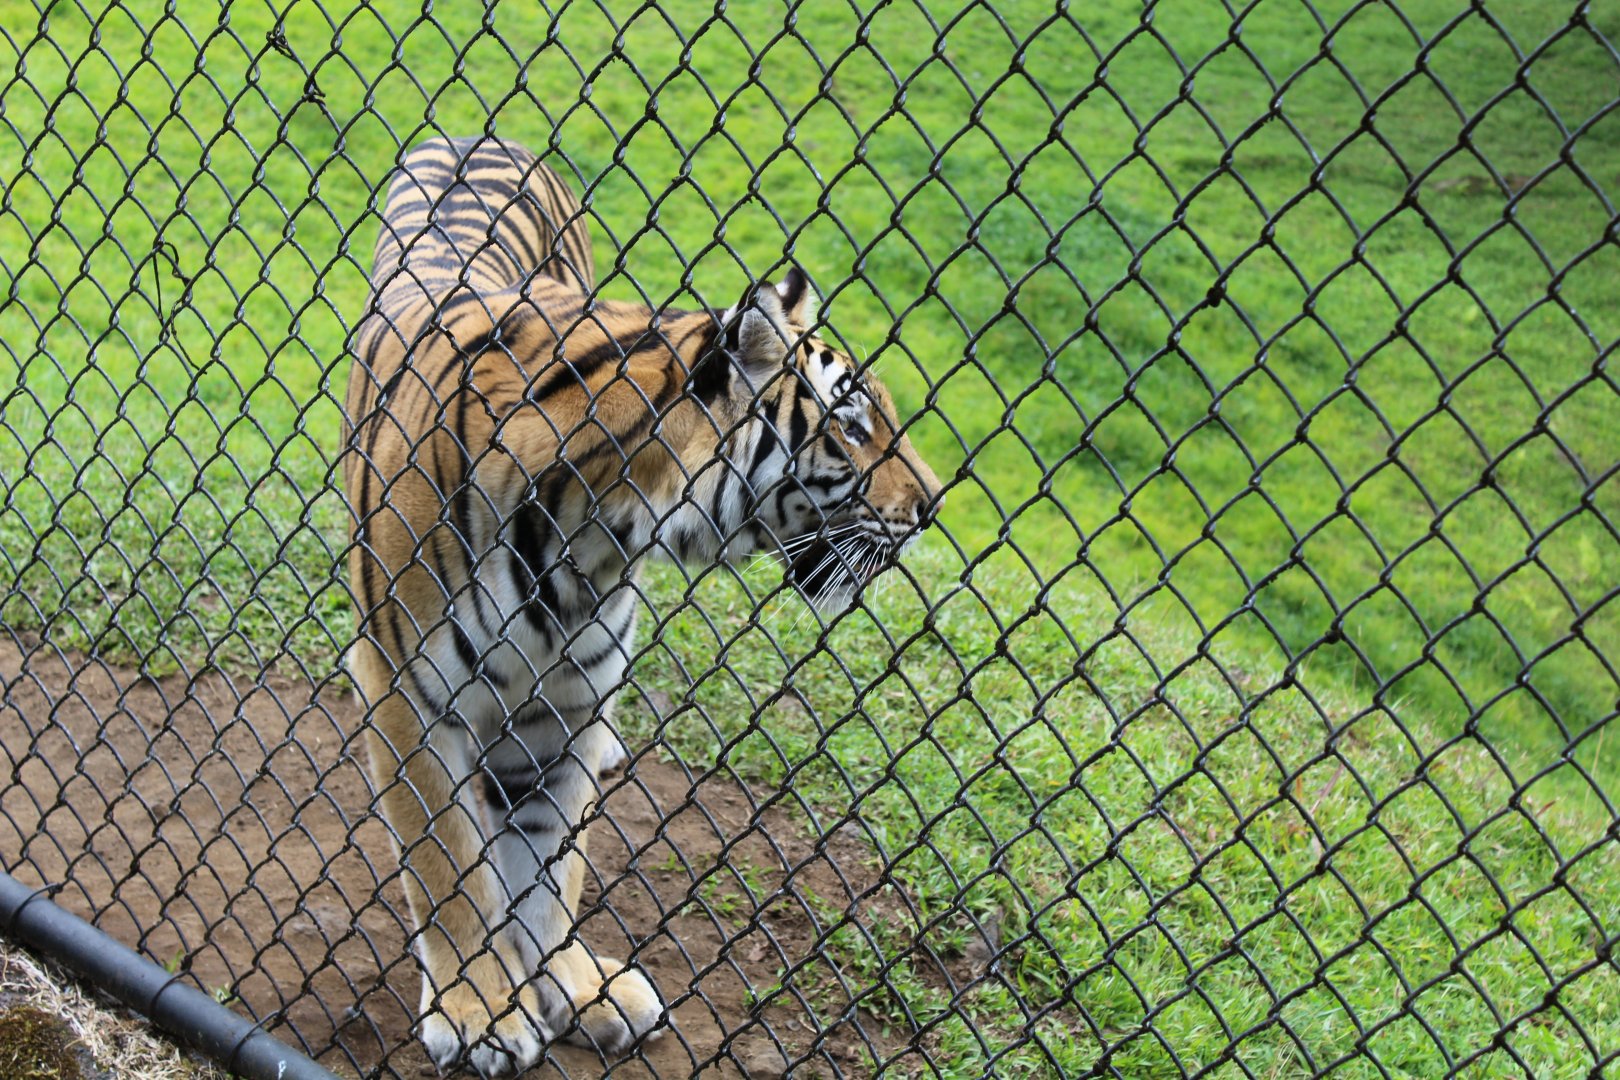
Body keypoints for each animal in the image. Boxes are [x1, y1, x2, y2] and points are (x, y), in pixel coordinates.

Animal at [343, 135, 941, 1075]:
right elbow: (450, 864)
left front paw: (572, 984)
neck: (595, 538)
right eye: (851, 427)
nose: (934, 506)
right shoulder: (407, 690)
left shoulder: (567, 707)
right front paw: (482, 1008)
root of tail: (479, 135)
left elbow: (551, 865)